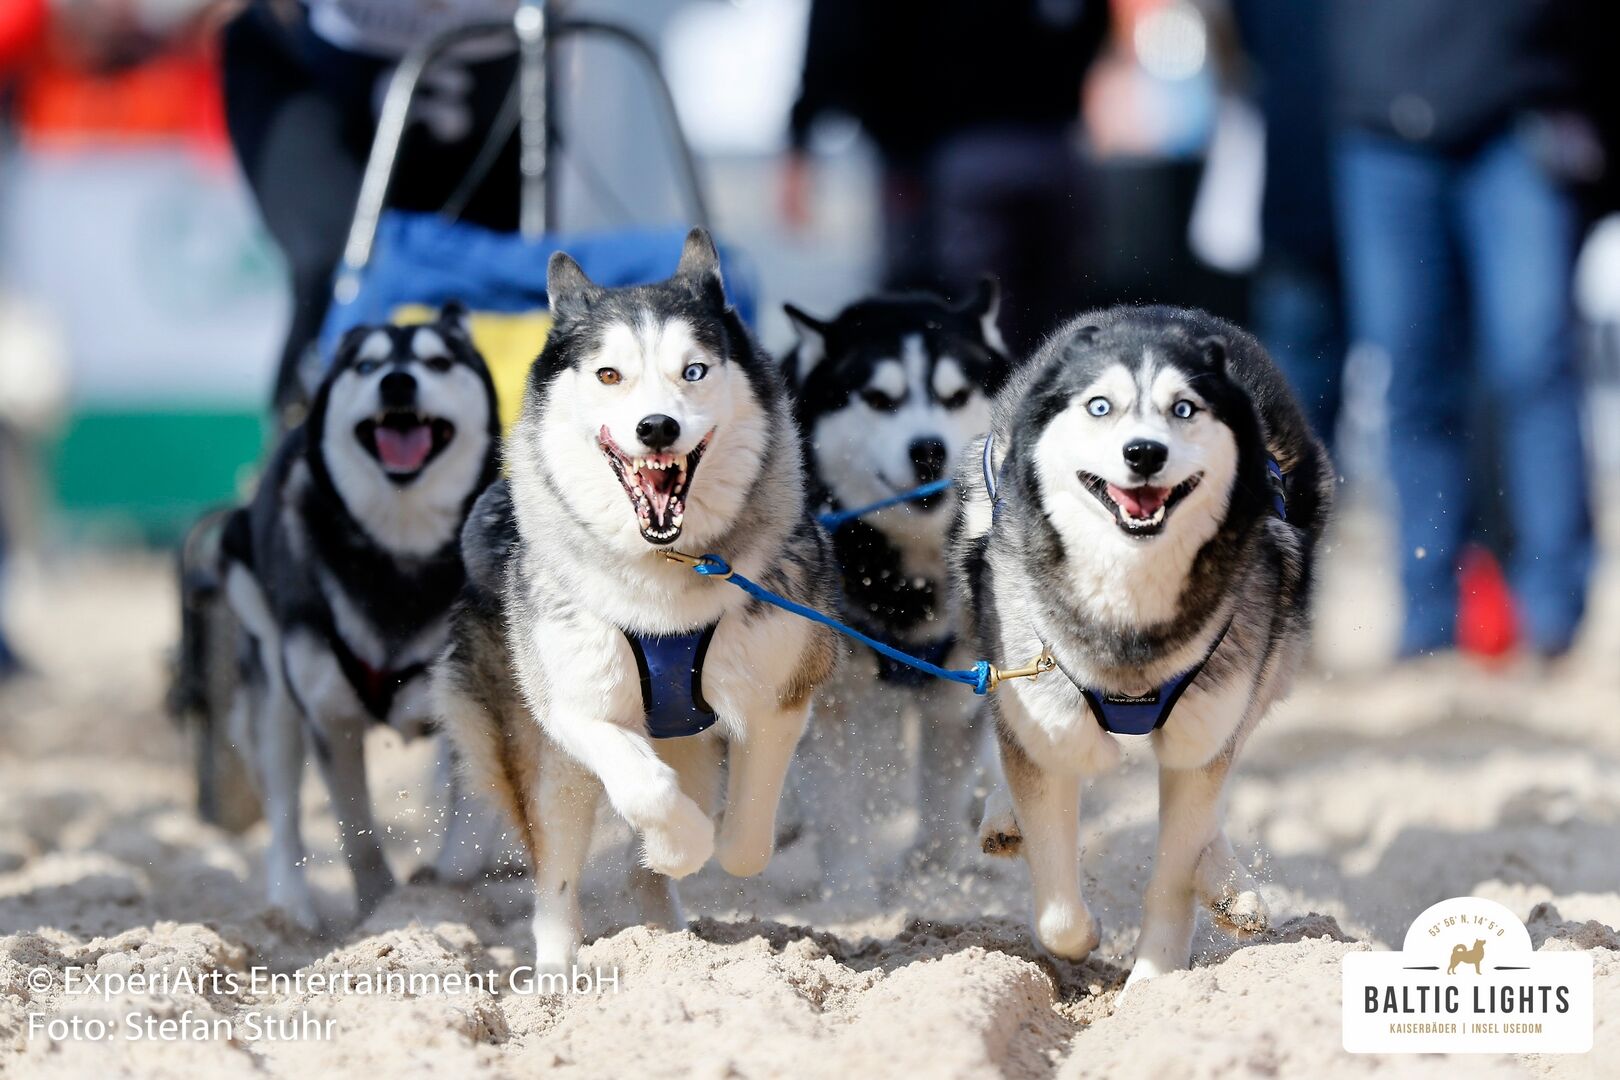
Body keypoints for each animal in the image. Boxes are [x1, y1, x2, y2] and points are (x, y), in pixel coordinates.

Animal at [221, 306, 495, 932]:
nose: (397, 382)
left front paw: (448, 883)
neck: (400, 552)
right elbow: (357, 834)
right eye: (367, 366)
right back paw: (290, 909)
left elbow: (472, 809)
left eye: (438, 361)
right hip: (276, 692)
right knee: (284, 814)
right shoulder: (330, 718)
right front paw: (380, 913)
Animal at [434, 228, 835, 971]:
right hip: (542, 759)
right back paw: (559, 970)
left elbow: (745, 840)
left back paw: (667, 943)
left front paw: (688, 852)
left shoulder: (783, 691)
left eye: (694, 371)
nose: (657, 428)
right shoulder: (572, 705)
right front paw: (675, 843)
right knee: (557, 870)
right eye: (608, 376)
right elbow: (647, 791)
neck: (664, 575)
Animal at [780, 284, 1010, 887]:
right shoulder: (830, 701)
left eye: (956, 396)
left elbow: (942, 793)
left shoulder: (959, 690)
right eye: (880, 399)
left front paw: (934, 877)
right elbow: (837, 807)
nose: (928, 448)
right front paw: (852, 891)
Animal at [946, 304, 1328, 990]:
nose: (1145, 452)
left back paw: (1231, 888)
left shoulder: (1204, 728)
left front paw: (1154, 986)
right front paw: (1083, 938)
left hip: (1268, 660)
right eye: (1100, 407)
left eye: (1184, 409)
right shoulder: (1044, 709)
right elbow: (1057, 909)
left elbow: (1175, 868)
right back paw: (1003, 819)